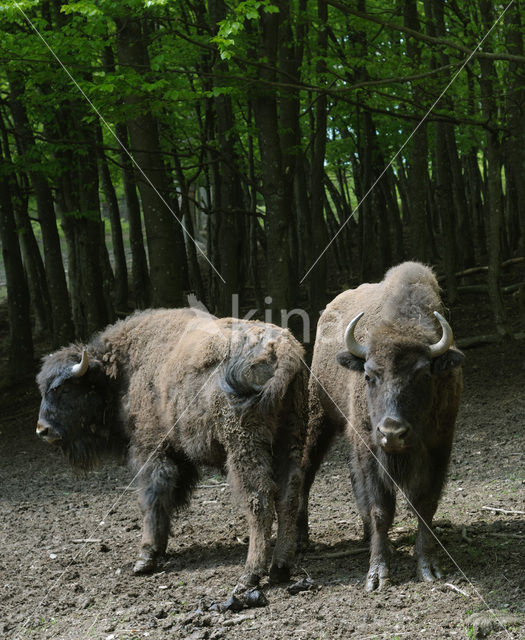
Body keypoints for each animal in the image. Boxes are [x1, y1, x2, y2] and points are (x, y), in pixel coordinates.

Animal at [36, 308, 304, 592]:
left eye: (63, 388)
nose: (42, 430)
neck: (122, 370)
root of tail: (284, 351)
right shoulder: (177, 456)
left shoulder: (151, 452)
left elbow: (152, 498)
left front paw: (145, 558)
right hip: (290, 437)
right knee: (288, 496)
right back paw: (280, 568)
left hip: (243, 446)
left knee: (259, 499)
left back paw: (249, 575)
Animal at [296, 260, 464, 592]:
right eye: (369, 375)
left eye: (424, 375)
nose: (392, 433)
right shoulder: (370, 448)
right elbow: (381, 509)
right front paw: (377, 575)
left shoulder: (440, 446)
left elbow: (425, 505)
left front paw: (428, 567)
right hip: (320, 416)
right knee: (306, 471)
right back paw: (301, 540)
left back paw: (363, 534)